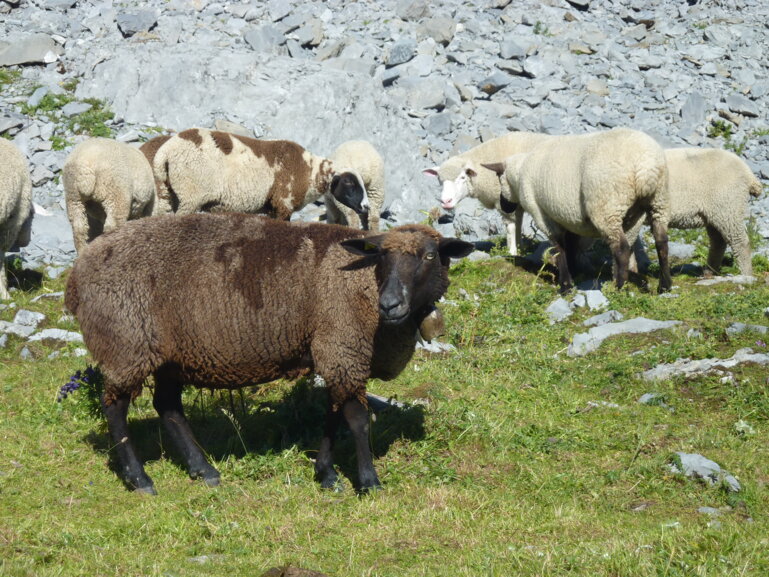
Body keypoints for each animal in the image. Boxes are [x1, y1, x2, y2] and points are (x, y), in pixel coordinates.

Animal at [64, 213, 474, 494]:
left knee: (168, 407)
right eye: (382, 257)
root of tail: (77, 272)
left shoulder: (334, 351)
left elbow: (333, 415)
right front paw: (369, 481)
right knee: (115, 407)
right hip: (125, 342)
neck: (363, 284)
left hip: (168, 354)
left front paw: (327, 475)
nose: (390, 305)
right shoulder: (342, 343)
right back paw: (139, 478)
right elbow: (357, 419)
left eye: (430, 256)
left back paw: (204, 470)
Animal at [146, 128, 368, 221]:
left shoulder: (271, 208)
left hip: (166, 193)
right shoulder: (283, 204)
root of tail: (166, 151)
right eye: (349, 182)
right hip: (190, 195)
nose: (366, 207)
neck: (310, 171)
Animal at [422, 131, 553, 255]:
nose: (445, 201)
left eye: (463, 177)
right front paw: (520, 248)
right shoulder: (516, 203)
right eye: (439, 180)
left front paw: (512, 251)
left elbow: (511, 227)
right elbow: (518, 224)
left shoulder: (505, 201)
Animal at [483, 127, 672, 294]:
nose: (505, 206)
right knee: (661, 242)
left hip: (607, 206)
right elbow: (570, 246)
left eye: (498, 178)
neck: (520, 174)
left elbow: (559, 247)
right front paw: (574, 272)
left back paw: (618, 287)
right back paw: (664, 286)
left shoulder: (541, 214)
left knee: (622, 248)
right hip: (657, 203)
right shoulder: (569, 218)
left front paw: (565, 285)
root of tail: (646, 167)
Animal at [628, 147, 763, 277]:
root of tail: (748, 172)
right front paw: (632, 271)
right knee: (718, 242)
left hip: (728, 206)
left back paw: (746, 275)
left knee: (740, 241)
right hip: (715, 213)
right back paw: (709, 272)